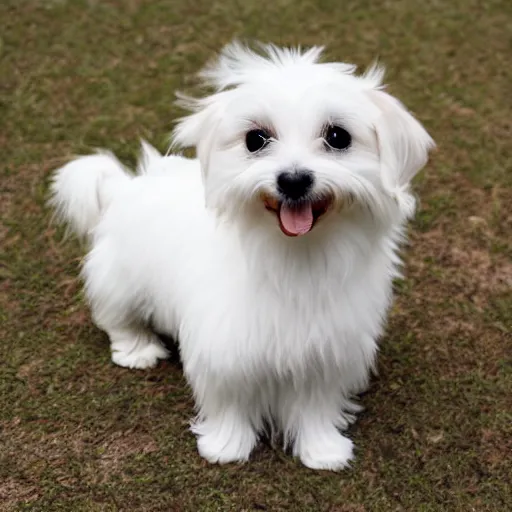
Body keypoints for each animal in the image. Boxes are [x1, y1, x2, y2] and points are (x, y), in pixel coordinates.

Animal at [51, 42, 436, 470]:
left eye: (338, 137)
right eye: (256, 139)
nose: (293, 180)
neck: (295, 254)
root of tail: (125, 185)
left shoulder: (327, 349)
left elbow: (315, 406)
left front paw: (322, 449)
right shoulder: (224, 346)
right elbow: (229, 400)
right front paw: (226, 446)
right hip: (120, 278)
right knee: (116, 317)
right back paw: (137, 350)